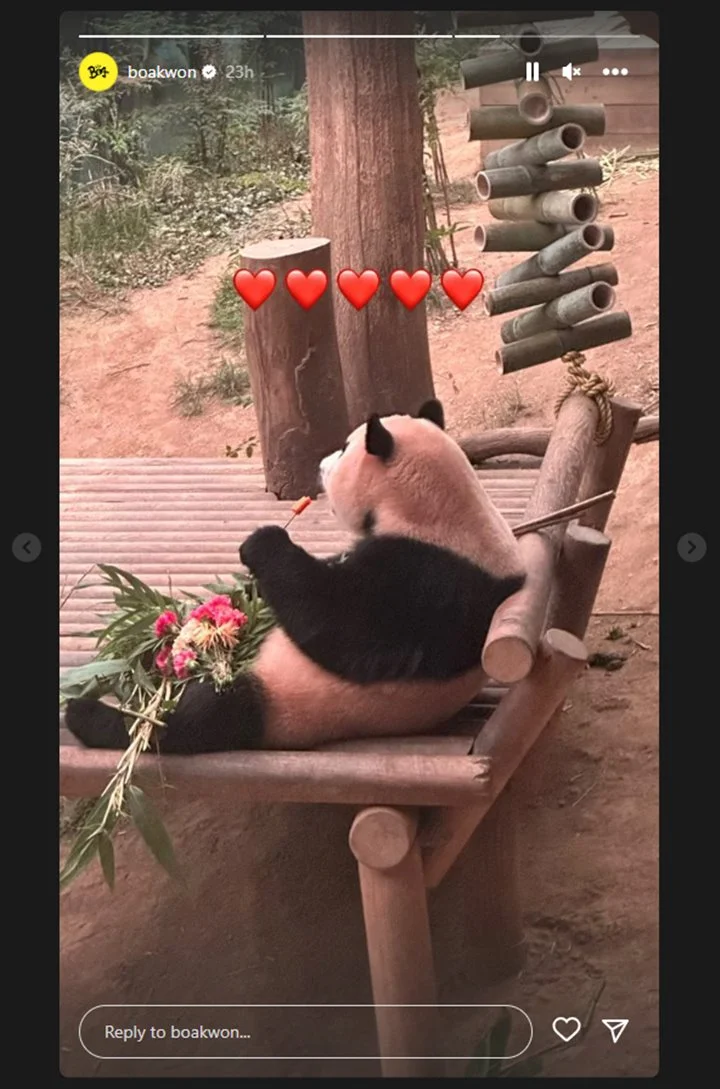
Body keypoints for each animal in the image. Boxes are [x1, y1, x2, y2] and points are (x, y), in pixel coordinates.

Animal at [65, 400, 526, 753]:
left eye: (344, 448)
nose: (321, 464)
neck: (442, 511)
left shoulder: (429, 582)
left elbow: (341, 623)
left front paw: (261, 542)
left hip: (284, 703)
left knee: (199, 719)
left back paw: (94, 716)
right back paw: (151, 648)